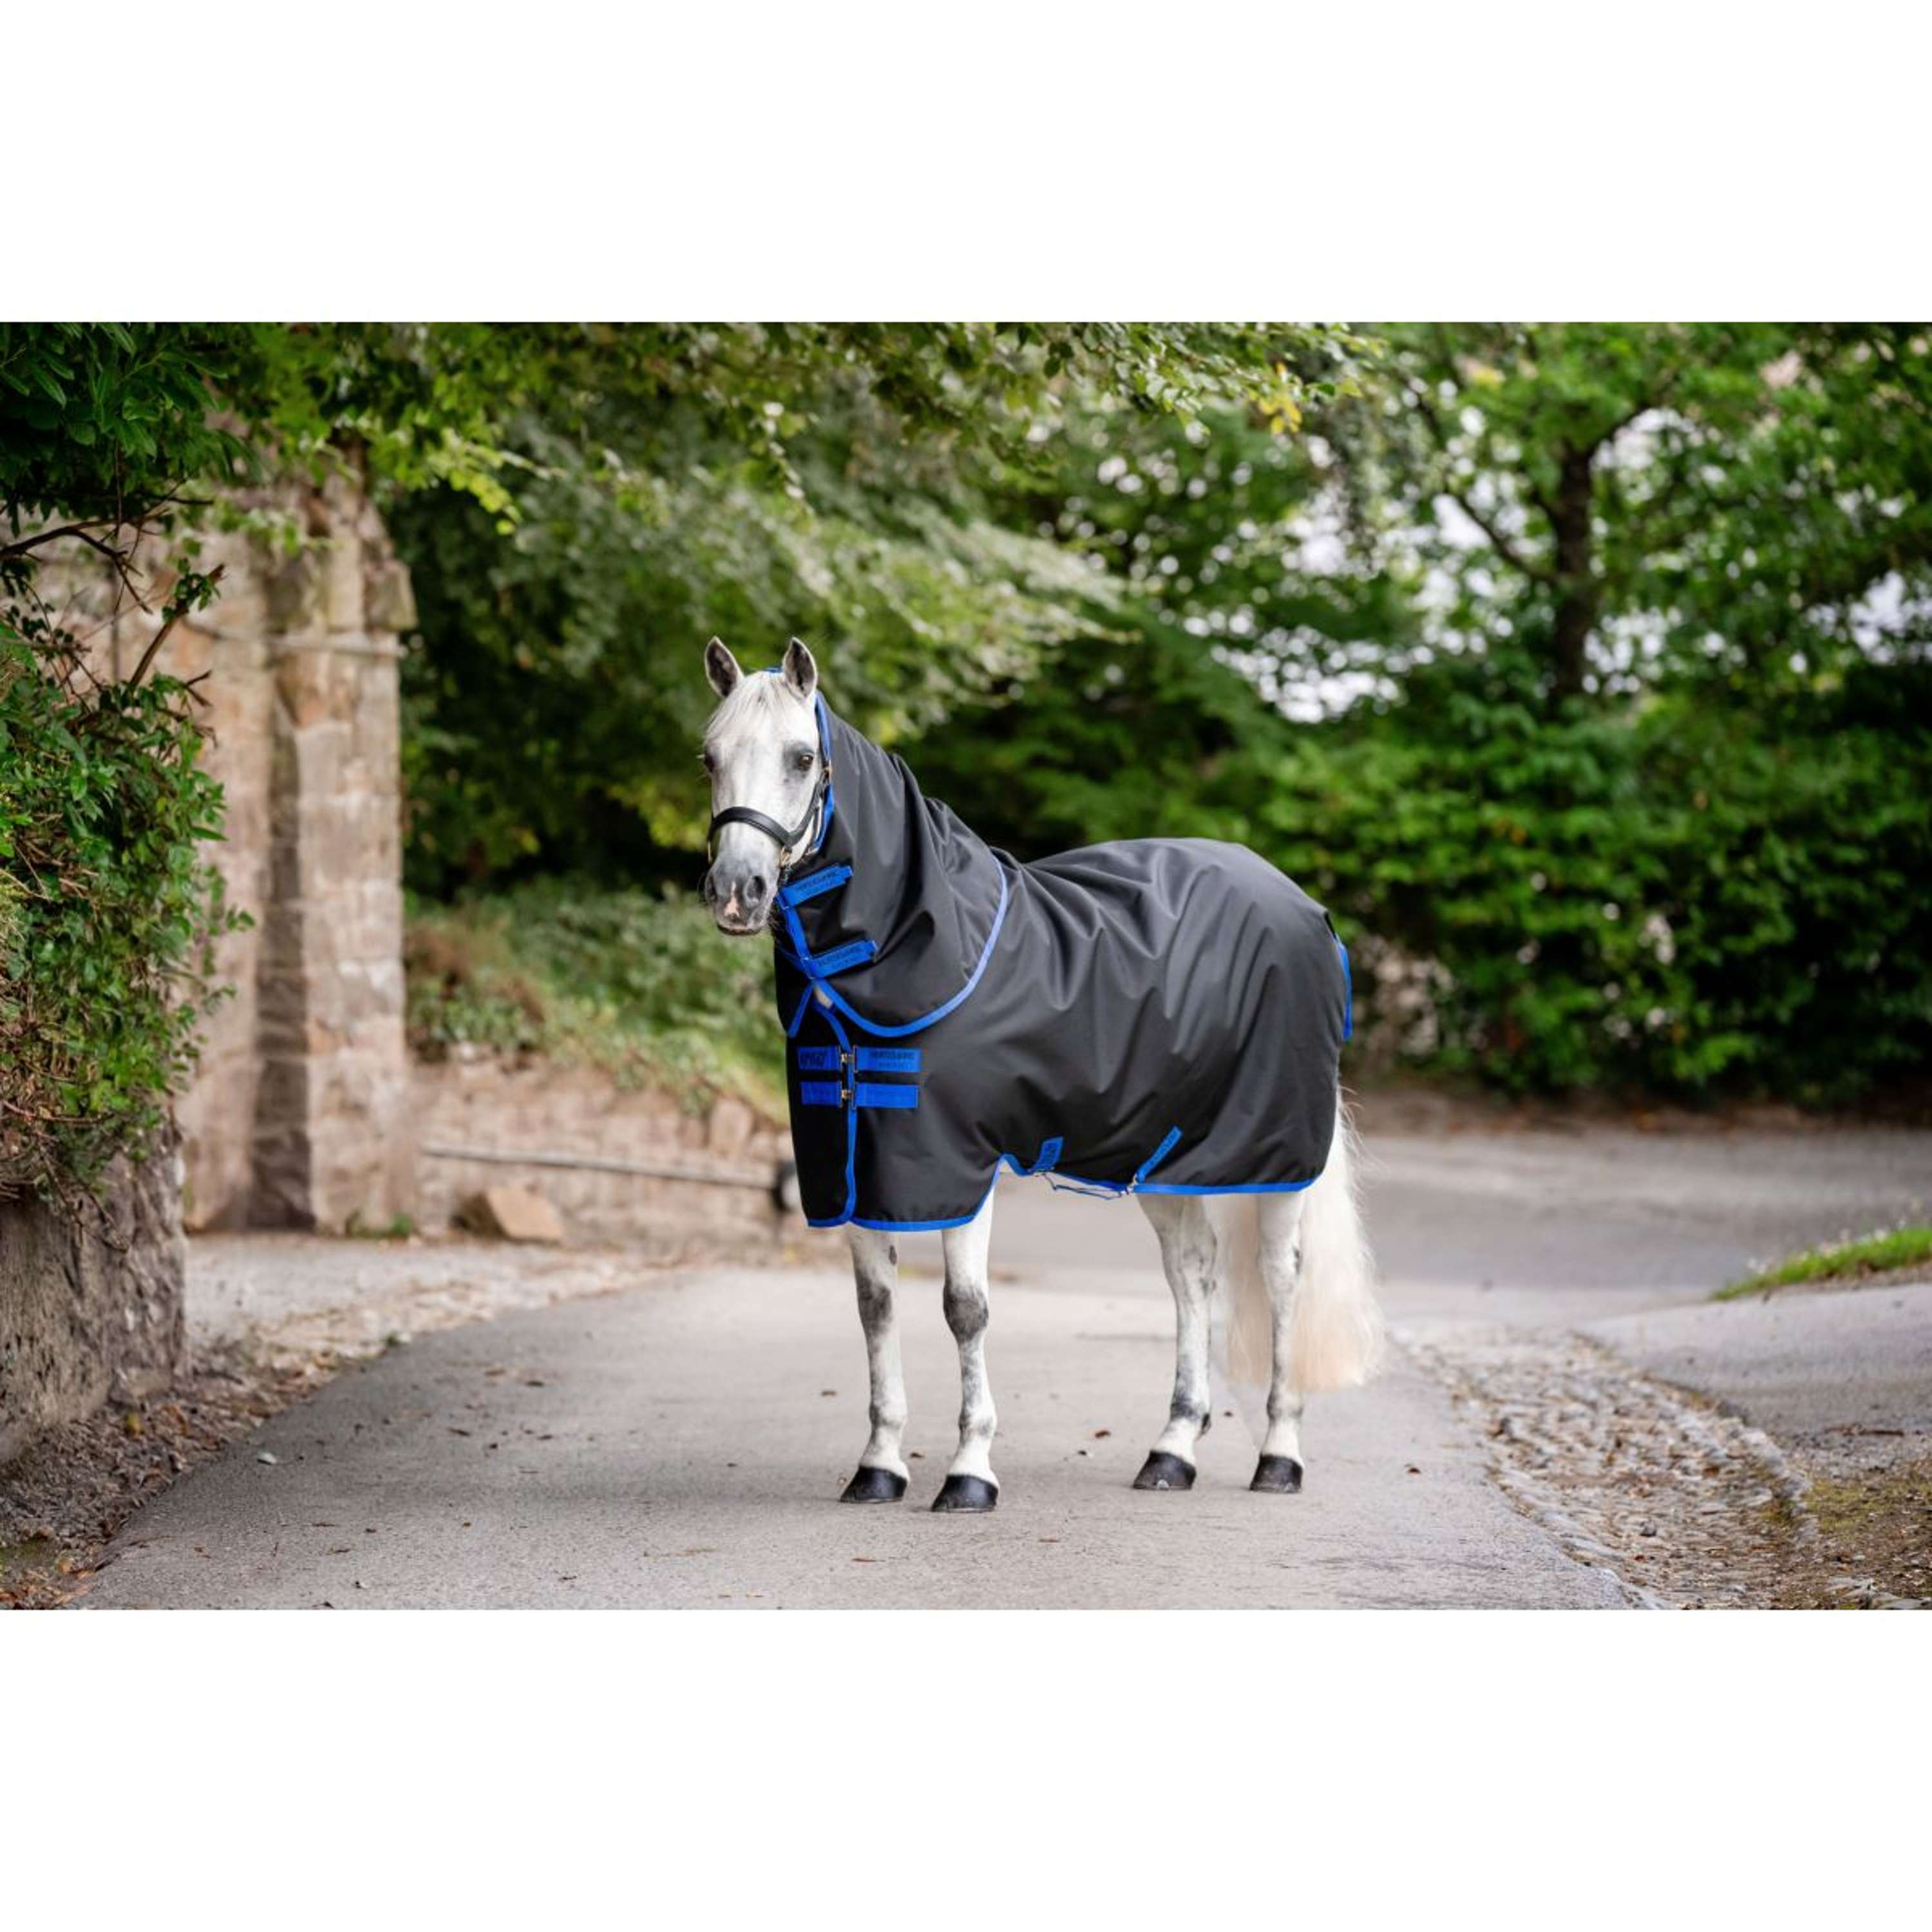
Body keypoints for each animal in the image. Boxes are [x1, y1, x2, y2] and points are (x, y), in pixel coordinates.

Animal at [700, 635, 1383, 1512]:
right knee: (1191, 1275)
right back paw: (1171, 1451)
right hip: (1162, 1153)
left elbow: (965, 1309)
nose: (737, 892)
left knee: (1283, 1279)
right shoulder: (854, 1165)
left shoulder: (959, 1165)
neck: (912, 946)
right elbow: (875, 1308)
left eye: (801, 757)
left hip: (1279, 1155)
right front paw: (879, 1465)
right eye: (709, 756)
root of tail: (1307, 909)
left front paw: (969, 1472)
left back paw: (1279, 1456)